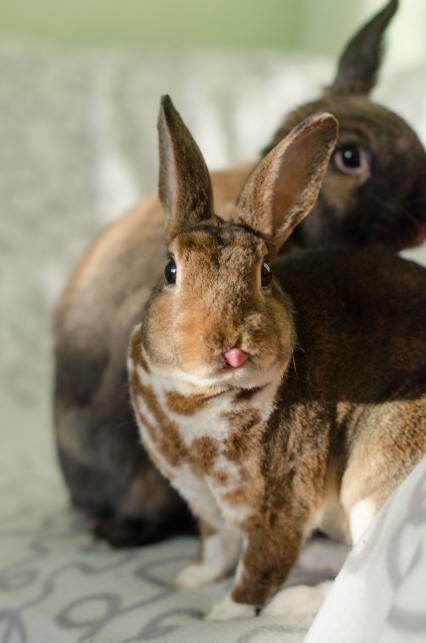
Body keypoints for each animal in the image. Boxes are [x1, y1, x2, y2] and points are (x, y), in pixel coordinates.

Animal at [127, 93, 426, 620]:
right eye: (170, 270)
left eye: (265, 272)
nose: (231, 346)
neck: (195, 400)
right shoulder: (205, 504)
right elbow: (216, 548)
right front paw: (189, 581)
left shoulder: (282, 497)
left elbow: (260, 564)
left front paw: (223, 616)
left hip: (377, 467)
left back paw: (298, 601)